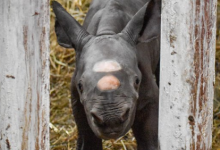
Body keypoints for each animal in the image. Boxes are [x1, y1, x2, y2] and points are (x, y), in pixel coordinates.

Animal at [52, 0, 161, 149]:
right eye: (80, 86)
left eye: (137, 81)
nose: (111, 120)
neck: (107, 32)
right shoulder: (77, 101)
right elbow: (87, 141)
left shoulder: (149, 98)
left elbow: (149, 140)